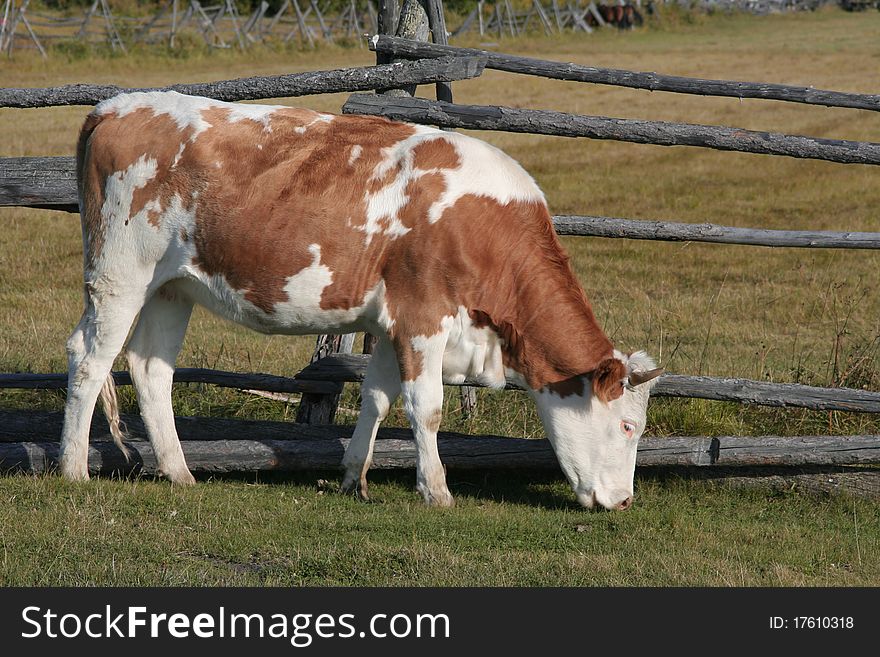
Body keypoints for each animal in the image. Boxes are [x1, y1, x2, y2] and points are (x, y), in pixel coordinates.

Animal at [60, 91, 660, 512]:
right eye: (629, 427)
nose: (625, 500)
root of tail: (118, 104)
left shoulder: (393, 323)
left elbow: (376, 399)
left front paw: (354, 476)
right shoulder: (423, 316)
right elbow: (427, 408)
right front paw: (436, 491)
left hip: (171, 286)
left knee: (150, 368)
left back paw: (179, 472)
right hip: (120, 273)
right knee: (89, 358)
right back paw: (73, 468)